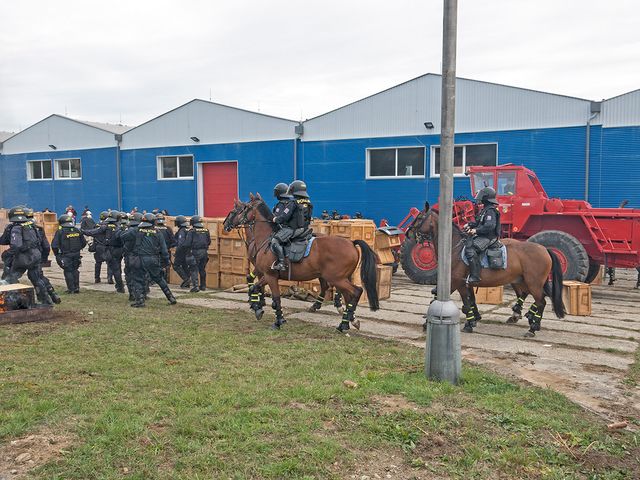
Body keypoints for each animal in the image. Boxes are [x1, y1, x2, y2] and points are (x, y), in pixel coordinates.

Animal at [222, 194, 378, 330]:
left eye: (239, 209)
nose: (225, 224)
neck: (264, 239)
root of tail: (351, 243)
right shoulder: (266, 274)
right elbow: (253, 286)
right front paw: (257, 307)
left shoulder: (270, 275)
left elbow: (275, 297)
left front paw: (277, 320)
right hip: (338, 277)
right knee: (345, 294)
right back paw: (349, 319)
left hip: (336, 278)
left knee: (355, 291)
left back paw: (343, 323)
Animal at [410, 204, 564, 336]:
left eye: (419, 218)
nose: (408, 233)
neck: (453, 248)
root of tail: (545, 249)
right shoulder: (465, 284)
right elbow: (469, 301)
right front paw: (473, 320)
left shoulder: (456, 282)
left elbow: (457, 303)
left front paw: (466, 324)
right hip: (523, 281)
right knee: (531, 296)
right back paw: (525, 317)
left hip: (533, 283)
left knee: (541, 301)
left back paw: (533, 327)